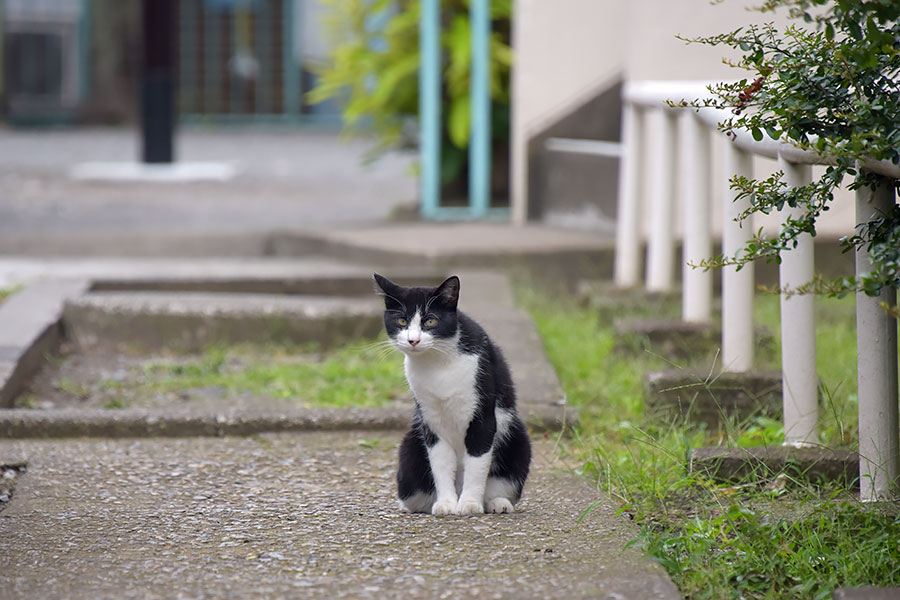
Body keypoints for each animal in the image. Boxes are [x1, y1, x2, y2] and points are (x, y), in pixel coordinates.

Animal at [370, 274, 532, 512]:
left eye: (430, 321)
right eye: (401, 321)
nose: (413, 340)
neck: (437, 363)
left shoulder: (482, 417)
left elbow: (477, 465)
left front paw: (470, 504)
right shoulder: (431, 421)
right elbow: (441, 464)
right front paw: (446, 504)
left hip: (518, 437)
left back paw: (496, 502)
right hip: (409, 451)